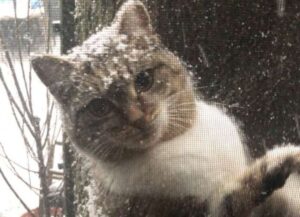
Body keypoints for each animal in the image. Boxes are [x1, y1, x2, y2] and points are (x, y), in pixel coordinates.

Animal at [31, 0, 300, 217]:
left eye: (143, 80)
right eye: (99, 107)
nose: (137, 118)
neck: (181, 142)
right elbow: (237, 198)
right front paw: (282, 159)